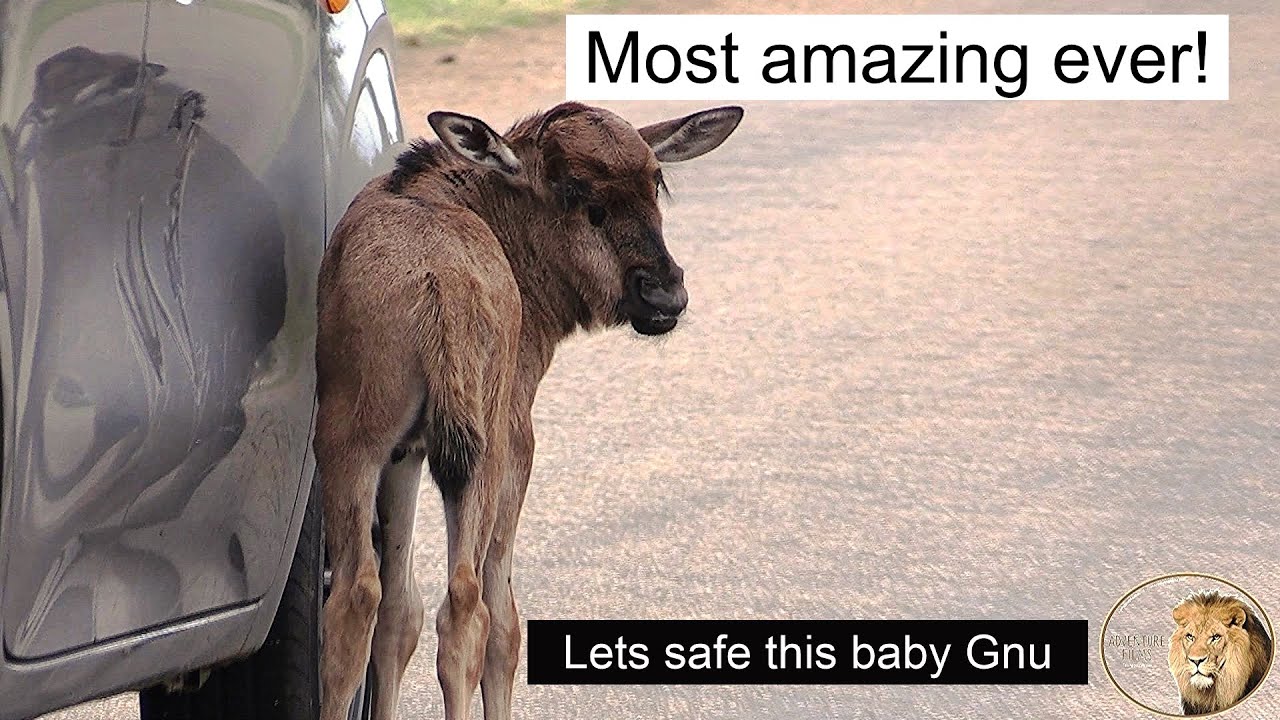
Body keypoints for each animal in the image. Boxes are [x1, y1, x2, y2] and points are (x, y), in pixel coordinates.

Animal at [315, 102, 743, 720]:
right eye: (571, 189)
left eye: (656, 181)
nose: (664, 295)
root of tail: (439, 288)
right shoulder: (518, 439)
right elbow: (505, 625)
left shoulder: (406, 451)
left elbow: (397, 613)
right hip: (481, 450)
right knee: (466, 607)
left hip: (358, 443)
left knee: (358, 597)